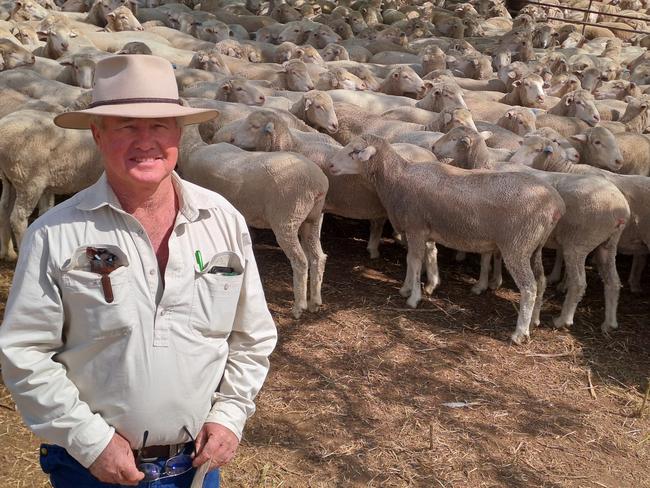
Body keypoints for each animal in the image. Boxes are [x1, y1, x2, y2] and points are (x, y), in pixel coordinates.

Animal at [177, 120, 326, 318]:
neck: (191, 149)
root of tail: (319, 185)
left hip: (288, 217)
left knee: (300, 261)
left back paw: (299, 307)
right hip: (313, 219)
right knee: (318, 257)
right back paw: (315, 301)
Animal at [324, 133, 560, 344]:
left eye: (355, 151)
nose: (331, 165)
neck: (397, 179)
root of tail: (555, 206)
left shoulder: (416, 227)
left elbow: (414, 261)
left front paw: (413, 298)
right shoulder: (423, 230)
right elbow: (420, 258)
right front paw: (412, 287)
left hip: (517, 245)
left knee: (529, 287)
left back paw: (520, 333)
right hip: (534, 247)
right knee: (541, 281)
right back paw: (535, 321)